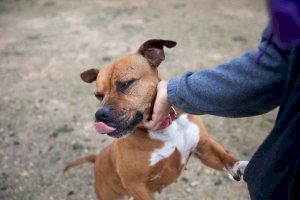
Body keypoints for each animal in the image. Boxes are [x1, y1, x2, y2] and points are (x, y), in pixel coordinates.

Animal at [65, 39, 248, 199]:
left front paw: (242, 166)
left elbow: (225, 157)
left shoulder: (204, 149)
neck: (166, 128)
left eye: (125, 84)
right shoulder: (136, 185)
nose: (99, 115)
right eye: (98, 95)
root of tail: (97, 158)